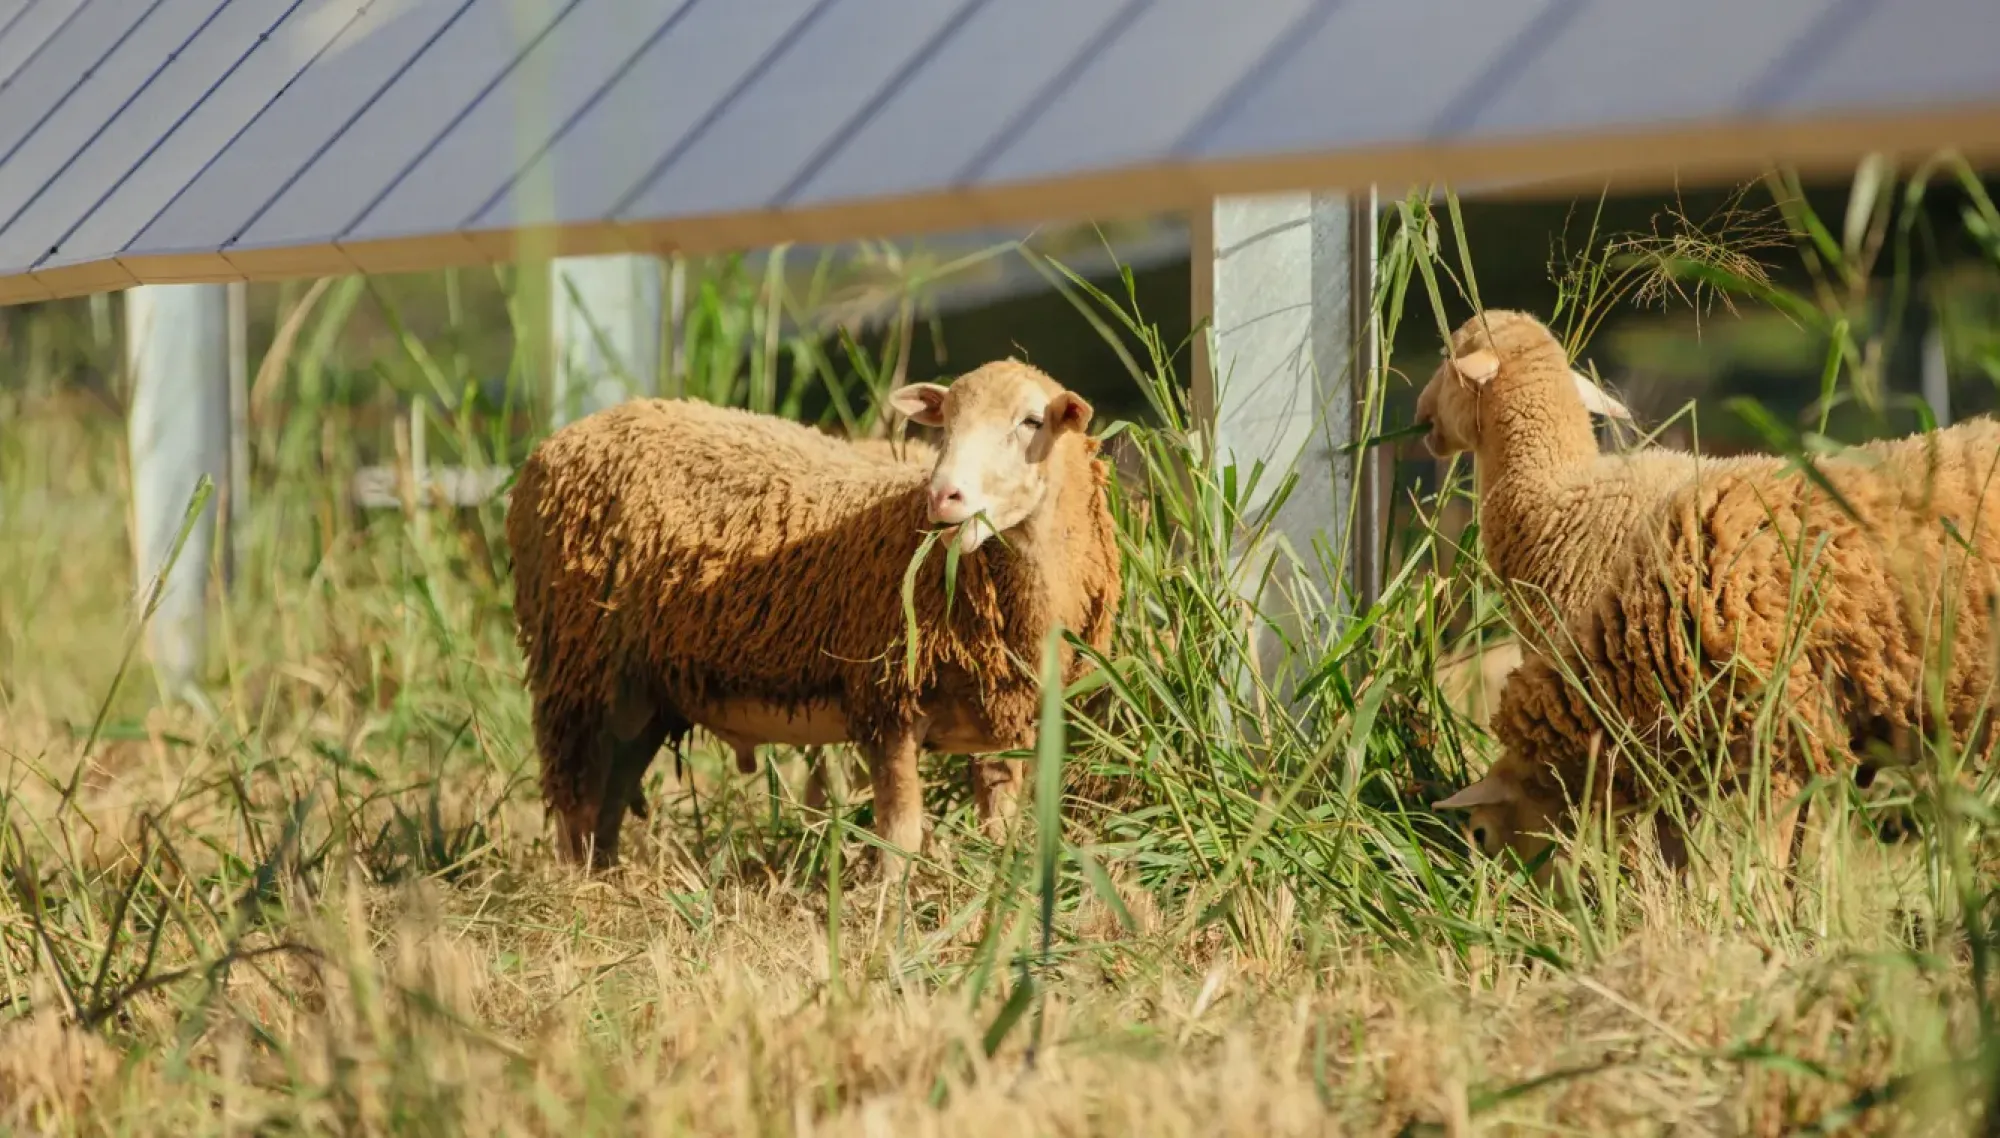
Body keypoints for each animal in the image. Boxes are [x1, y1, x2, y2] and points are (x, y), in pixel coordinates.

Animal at [505, 360, 1122, 869]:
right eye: (945, 421)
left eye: (1031, 421)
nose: (943, 496)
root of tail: (555, 443)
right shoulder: (888, 702)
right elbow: (900, 837)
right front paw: (888, 915)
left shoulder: (1002, 717)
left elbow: (1000, 824)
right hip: (576, 668)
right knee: (576, 802)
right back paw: (578, 891)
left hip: (643, 693)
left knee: (608, 799)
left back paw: (609, 881)